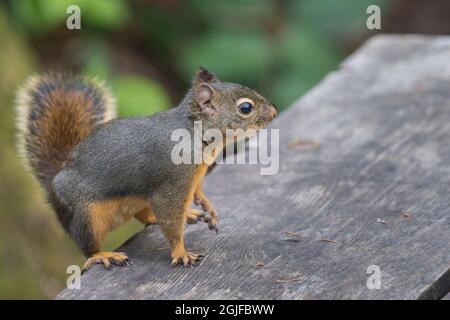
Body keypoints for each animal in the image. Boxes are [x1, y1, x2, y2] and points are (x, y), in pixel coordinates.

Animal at [15, 67, 276, 270]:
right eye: (245, 108)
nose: (274, 111)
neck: (195, 135)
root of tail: (55, 180)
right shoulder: (172, 183)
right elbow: (170, 219)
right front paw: (181, 252)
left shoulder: (194, 177)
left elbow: (196, 191)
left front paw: (206, 204)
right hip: (85, 215)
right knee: (88, 248)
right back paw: (103, 255)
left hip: (136, 199)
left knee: (143, 214)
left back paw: (185, 214)